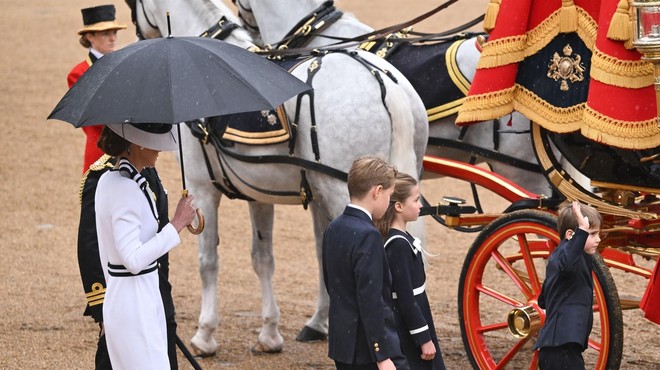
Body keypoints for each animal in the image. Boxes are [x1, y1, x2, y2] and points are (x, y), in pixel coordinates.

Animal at [130, 0, 428, 356]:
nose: (138, 36)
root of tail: (382, 80)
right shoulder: (258, 194)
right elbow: (263, 259)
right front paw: (270, 333)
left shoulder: (202, 190)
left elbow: (208, 261)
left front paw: (205, 335)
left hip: (343, 193)